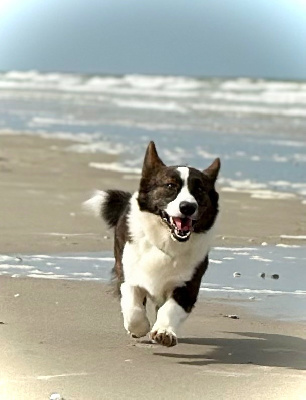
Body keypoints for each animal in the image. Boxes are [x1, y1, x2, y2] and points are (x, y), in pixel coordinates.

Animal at [85, 141, 220, 346]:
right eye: (170, 185)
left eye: (199, 190)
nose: (188, 207)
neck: (165, 242)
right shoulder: (128, 275)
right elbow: (133, 307)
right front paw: (139, 329)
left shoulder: (188, 285)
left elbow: (170, 309)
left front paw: (164, 332)